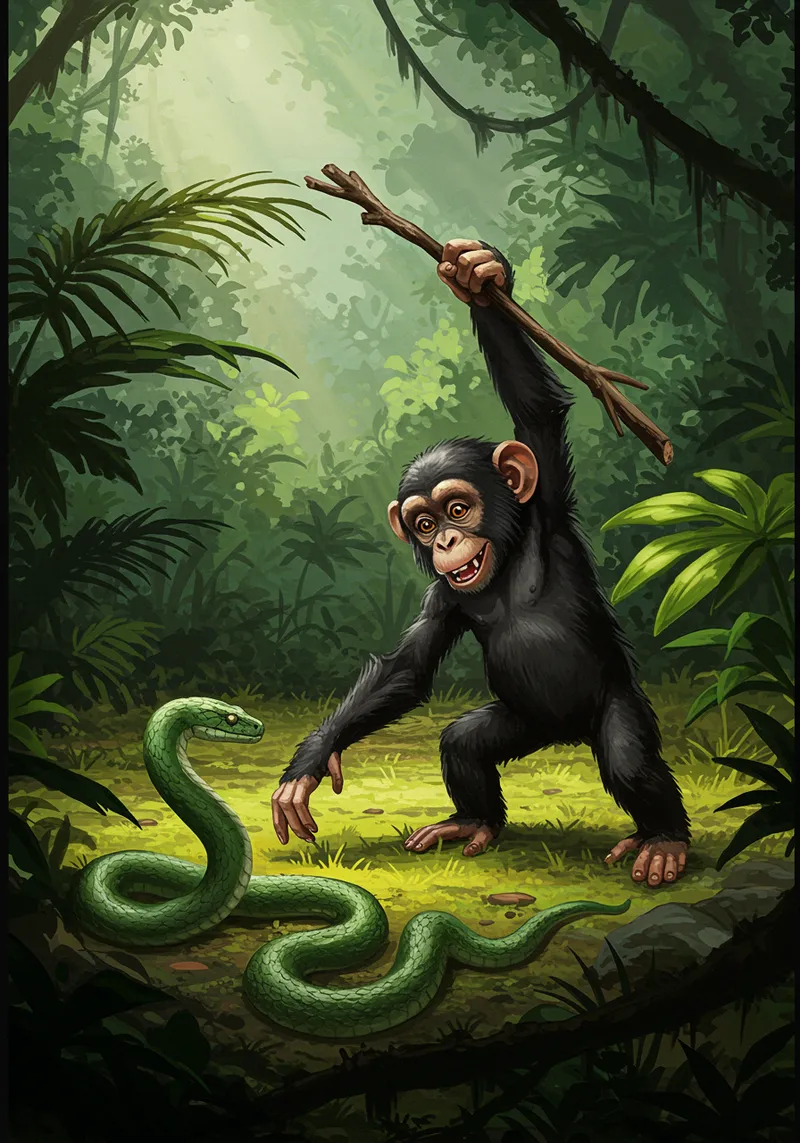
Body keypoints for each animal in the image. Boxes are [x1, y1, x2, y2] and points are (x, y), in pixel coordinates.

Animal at [271, 239, 690, 887]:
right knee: (462, 743)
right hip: (522, 721)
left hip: (618, 705)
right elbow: (408, 669)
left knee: (629, 762)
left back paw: (665, 840)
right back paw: (473, 822)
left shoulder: (547, 507)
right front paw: (311, 762)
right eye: (423, 523)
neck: (508, 562)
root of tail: (568, 737)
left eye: (458, 508)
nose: (445, 541)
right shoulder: (443, 598)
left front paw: (479, 274)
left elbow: (537, 410)